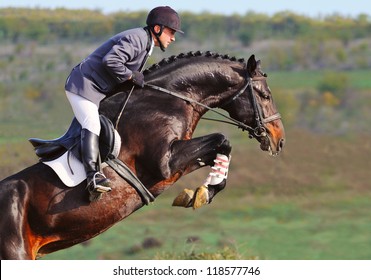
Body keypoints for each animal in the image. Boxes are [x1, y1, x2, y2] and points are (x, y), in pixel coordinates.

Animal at [0, 51, 284, 260]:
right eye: (265, 95)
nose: (278, 140)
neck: (168, 101)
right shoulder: (165, 163)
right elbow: (221, 139)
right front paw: (202, 193)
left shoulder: (175, 164)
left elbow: (219, 148)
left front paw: (200, 193)